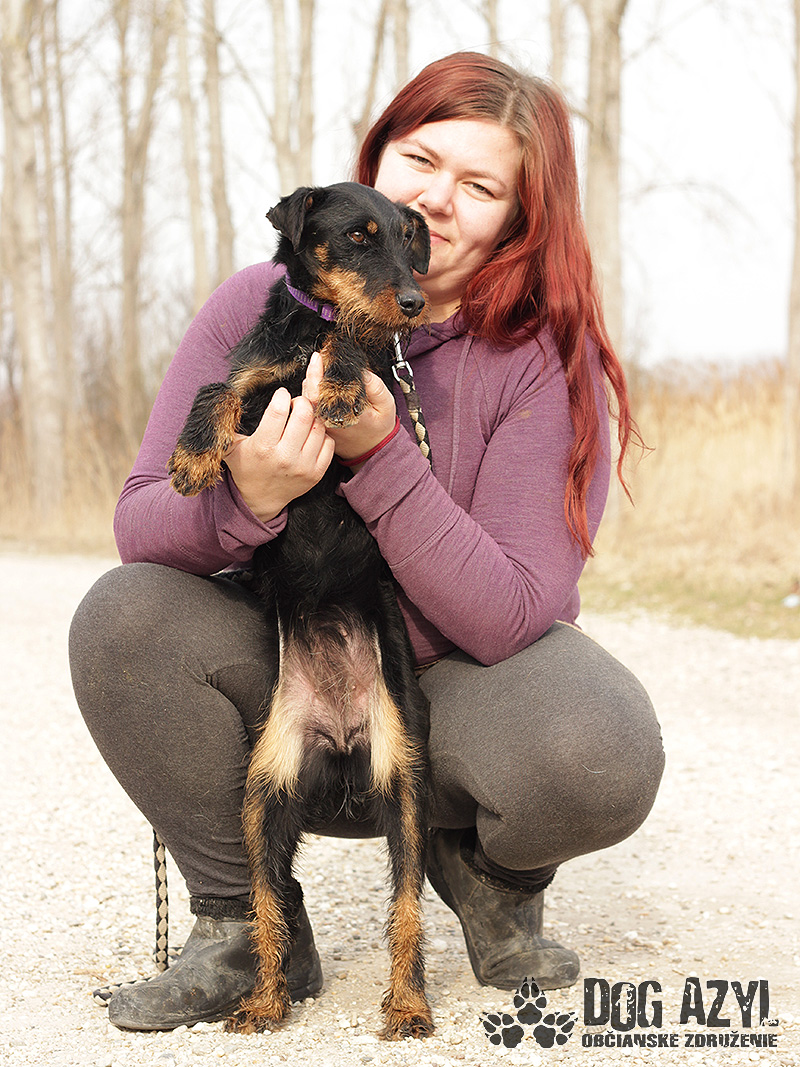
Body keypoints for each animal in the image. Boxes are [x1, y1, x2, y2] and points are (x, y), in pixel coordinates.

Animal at [168, 182, 434, 1040]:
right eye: (357, 236)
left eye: (410, 241)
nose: (414, 303)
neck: (311, 323)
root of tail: (342, 741)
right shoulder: (256, 377)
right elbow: (215, 387)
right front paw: (192, 456)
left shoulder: (373, 375)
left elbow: (352, 348)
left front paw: (342, 378)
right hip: (262, 800)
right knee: (266, 902)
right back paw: (263, 998)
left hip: (406, 788)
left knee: (407, 906)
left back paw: (409, 1004)